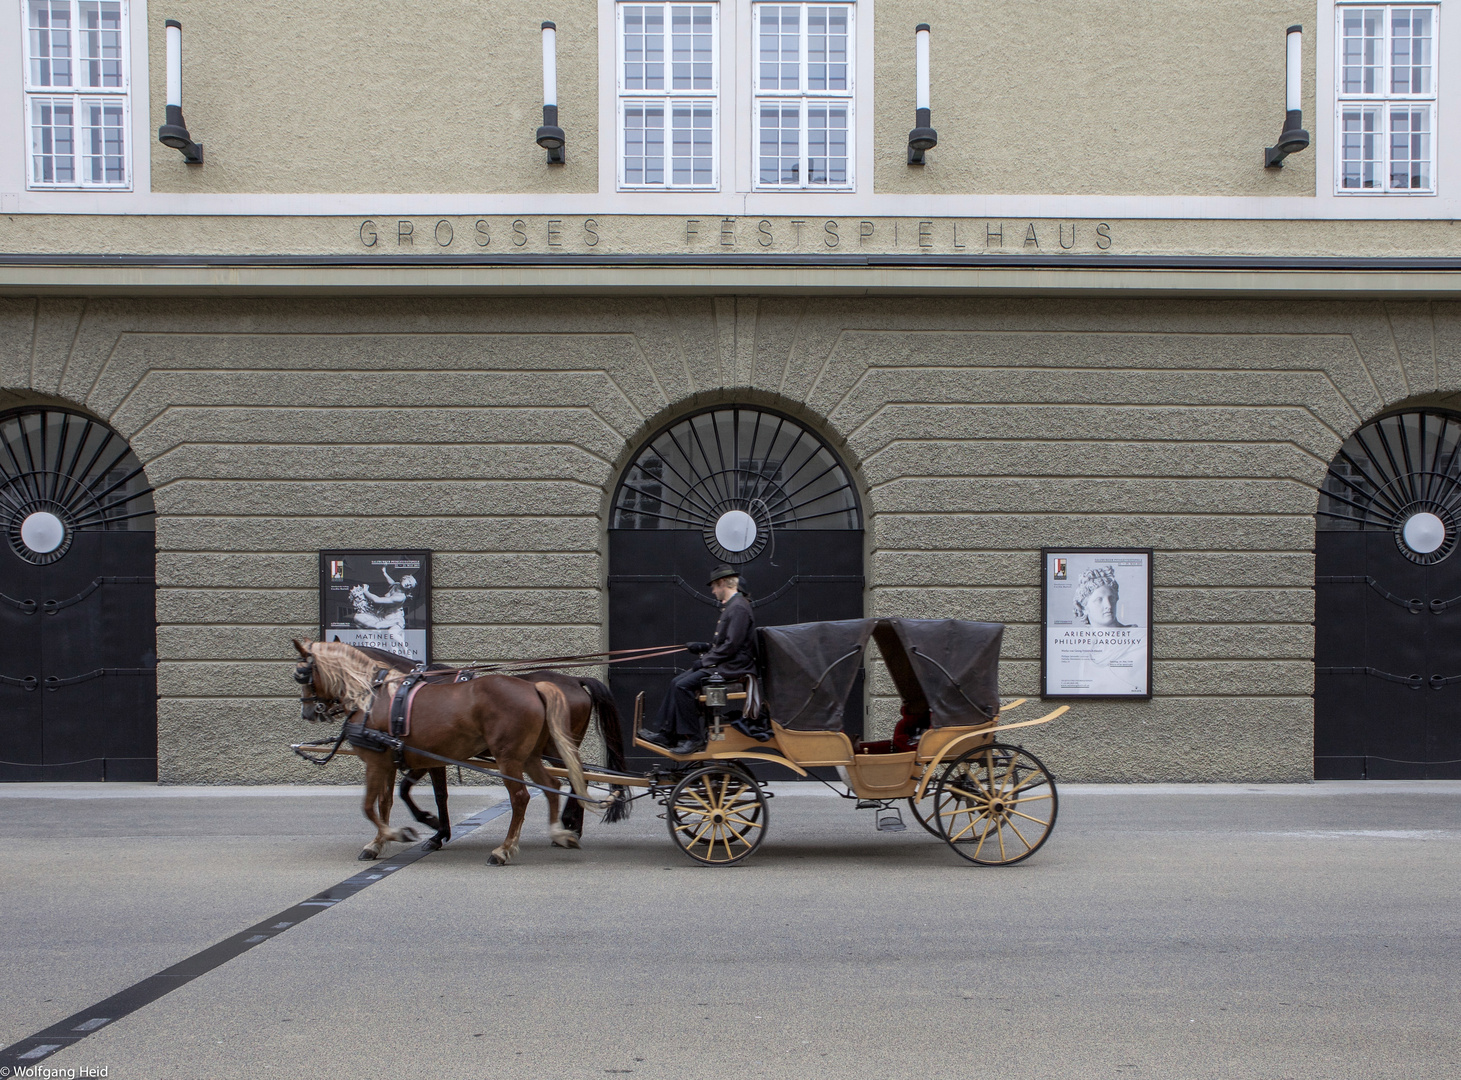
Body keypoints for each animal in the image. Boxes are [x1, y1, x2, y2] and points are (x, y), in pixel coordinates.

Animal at [290, 637, 593, 865]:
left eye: (301, 674)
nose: (308, 713)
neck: (377, 695)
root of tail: (535, 687)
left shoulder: (379, 761)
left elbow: (370, 805)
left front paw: (403, 832)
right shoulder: (396, 760)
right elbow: (387, 801)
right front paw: (381, 841)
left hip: (511, 758)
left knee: (523, 796)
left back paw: (506, 849)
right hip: (530, 756)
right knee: (553, 785)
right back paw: (560, 832)